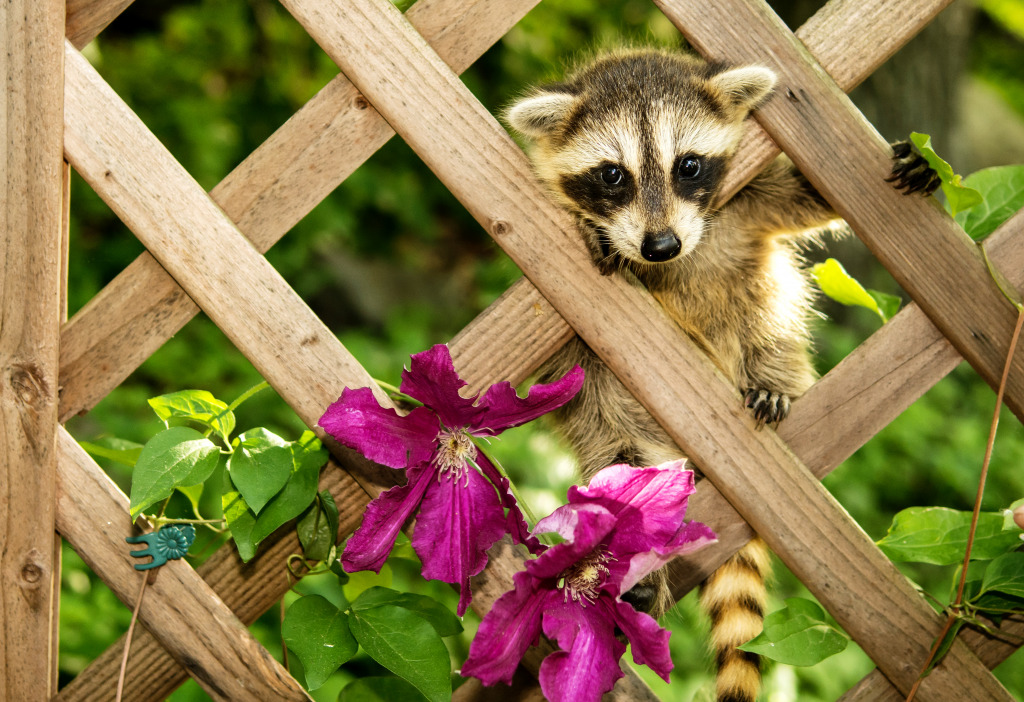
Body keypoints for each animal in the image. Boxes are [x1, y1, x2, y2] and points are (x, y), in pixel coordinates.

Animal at [503, 48, 937, 702]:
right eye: (612, 175)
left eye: (688, 165)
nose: (659, 246)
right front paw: (590, 229)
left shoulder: (744, 202)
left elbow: (800, 194)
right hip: (616, 419)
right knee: (621, 460)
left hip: (764, 326)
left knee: (769, 319)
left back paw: (769, 381)